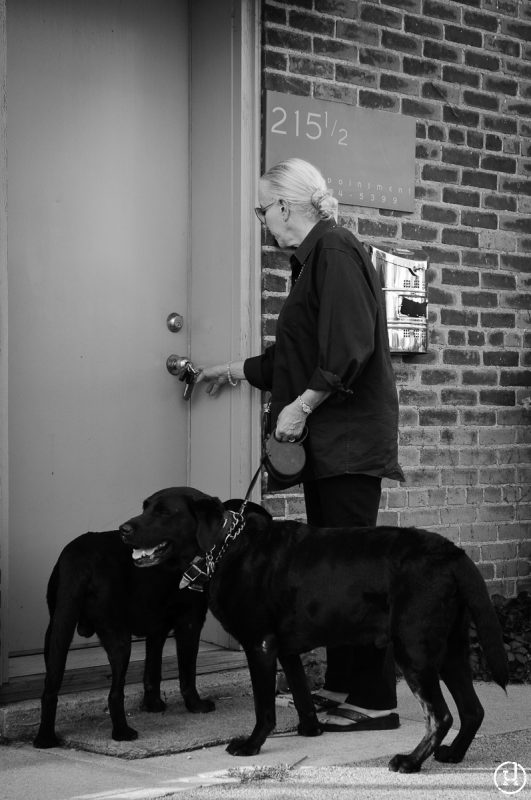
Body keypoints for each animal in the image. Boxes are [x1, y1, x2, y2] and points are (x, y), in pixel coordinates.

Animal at [33, 488, 214, 752]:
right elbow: (187, 672)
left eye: (163, 512)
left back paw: (45, 738)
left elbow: (152, 671)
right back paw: (122, 732)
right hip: (119, 638)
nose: (124, 529)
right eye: (145, 507)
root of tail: (78, 558)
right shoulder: (190, 623)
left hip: (56, 632)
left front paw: (153, 705)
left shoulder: (157, 630)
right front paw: (196, 706)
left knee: (50, 688)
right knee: (114, 694)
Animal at [121, 488, 512, 776]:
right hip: (450, 650)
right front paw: (311, 730)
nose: (124, 529)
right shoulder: (284, 648)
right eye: (144, 506)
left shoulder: (260, 645)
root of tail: (453, 552)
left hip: (413, 649)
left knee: (440, 715)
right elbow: (301, 692)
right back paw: (453, 754)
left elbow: (264, 707)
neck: (225, 545)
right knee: (472, 710)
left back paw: (411, 761)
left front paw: (251, 745)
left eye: (164, 512)